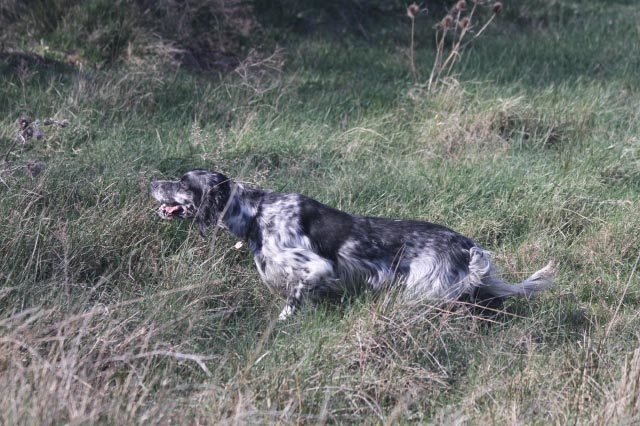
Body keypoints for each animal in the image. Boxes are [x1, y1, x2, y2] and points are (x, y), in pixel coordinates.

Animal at [151, 170, 556, 320]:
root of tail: (466, 245)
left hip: (422, 292)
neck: (257, 213)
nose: (152, 183)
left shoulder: (315, 267)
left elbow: (291, 301)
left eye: (184, 182)